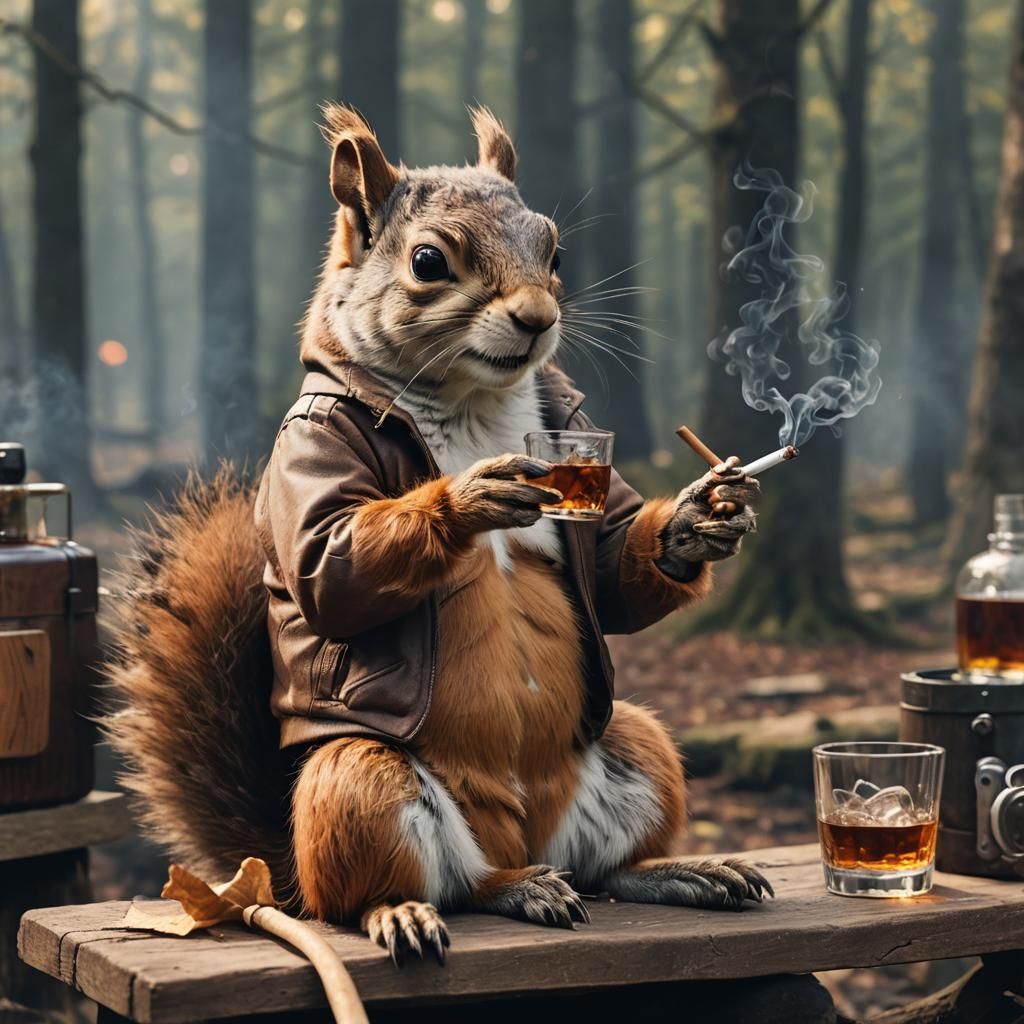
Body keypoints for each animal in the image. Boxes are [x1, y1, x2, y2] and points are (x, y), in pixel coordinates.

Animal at [106, 105, 770, 966]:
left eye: (555, 251)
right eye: (428, 261)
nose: (539, 318)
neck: (472, 399)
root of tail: (520, 834)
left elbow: (612, 568)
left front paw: (692, 523)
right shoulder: (311, 449)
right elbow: (328, 569)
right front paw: (467, 497)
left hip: (638, 747)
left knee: (599, 869)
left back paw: (676, 870)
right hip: (361, 785)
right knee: (426, 887)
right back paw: (429, 906)